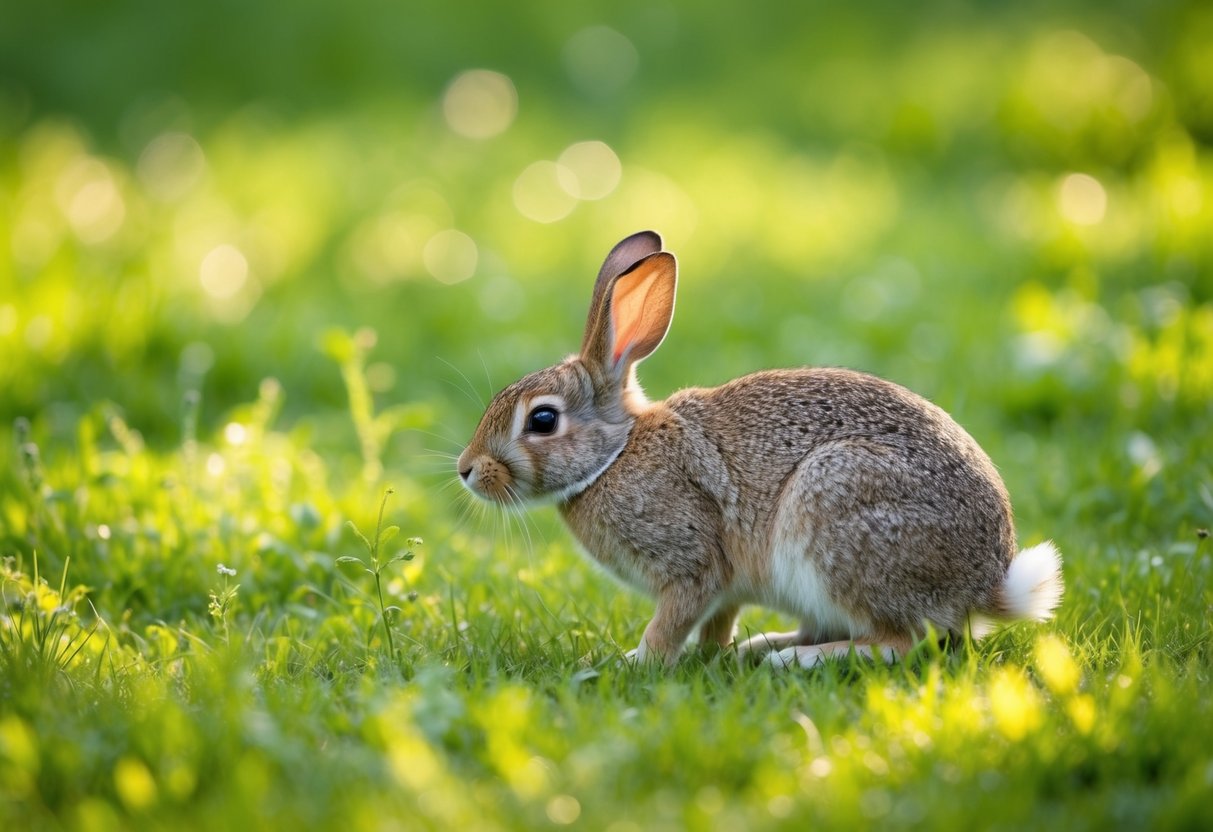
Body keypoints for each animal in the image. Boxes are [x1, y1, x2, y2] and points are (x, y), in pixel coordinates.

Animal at [457, 231, 1063, 668]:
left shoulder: (692, 564)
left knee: (898, 641)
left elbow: (672, 620)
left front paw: (635, 661)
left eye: (542, 420)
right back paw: (764, 646)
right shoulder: (724, 589)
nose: (466, 470)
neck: (616, 454)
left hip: (836, 518)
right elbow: (715, 620)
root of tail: (986, 585)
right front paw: (711, 653)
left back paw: (795, 660)